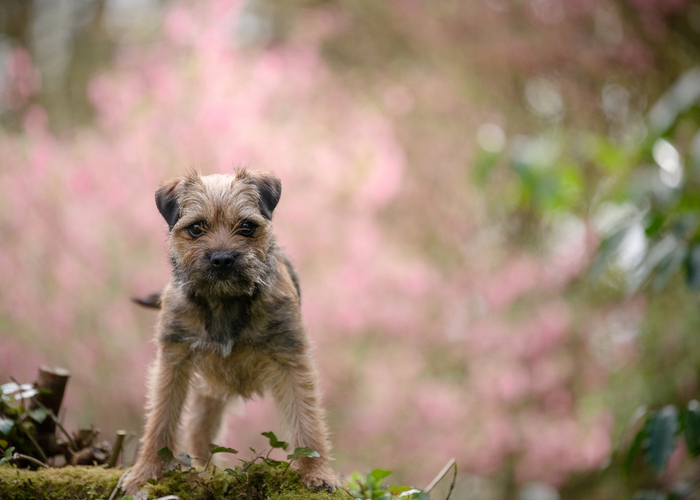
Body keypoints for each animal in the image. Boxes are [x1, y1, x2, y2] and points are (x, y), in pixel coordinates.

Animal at [123, 170, 342, 494]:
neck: (224, 301)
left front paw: (319, 473)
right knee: (198, 433)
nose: (222, 259)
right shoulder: (172, 363)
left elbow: (307, 422)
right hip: (208, 394)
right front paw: (145, 473)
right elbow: (160, 421)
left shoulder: (292, 361)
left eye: (247, 227)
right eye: (196, 228)